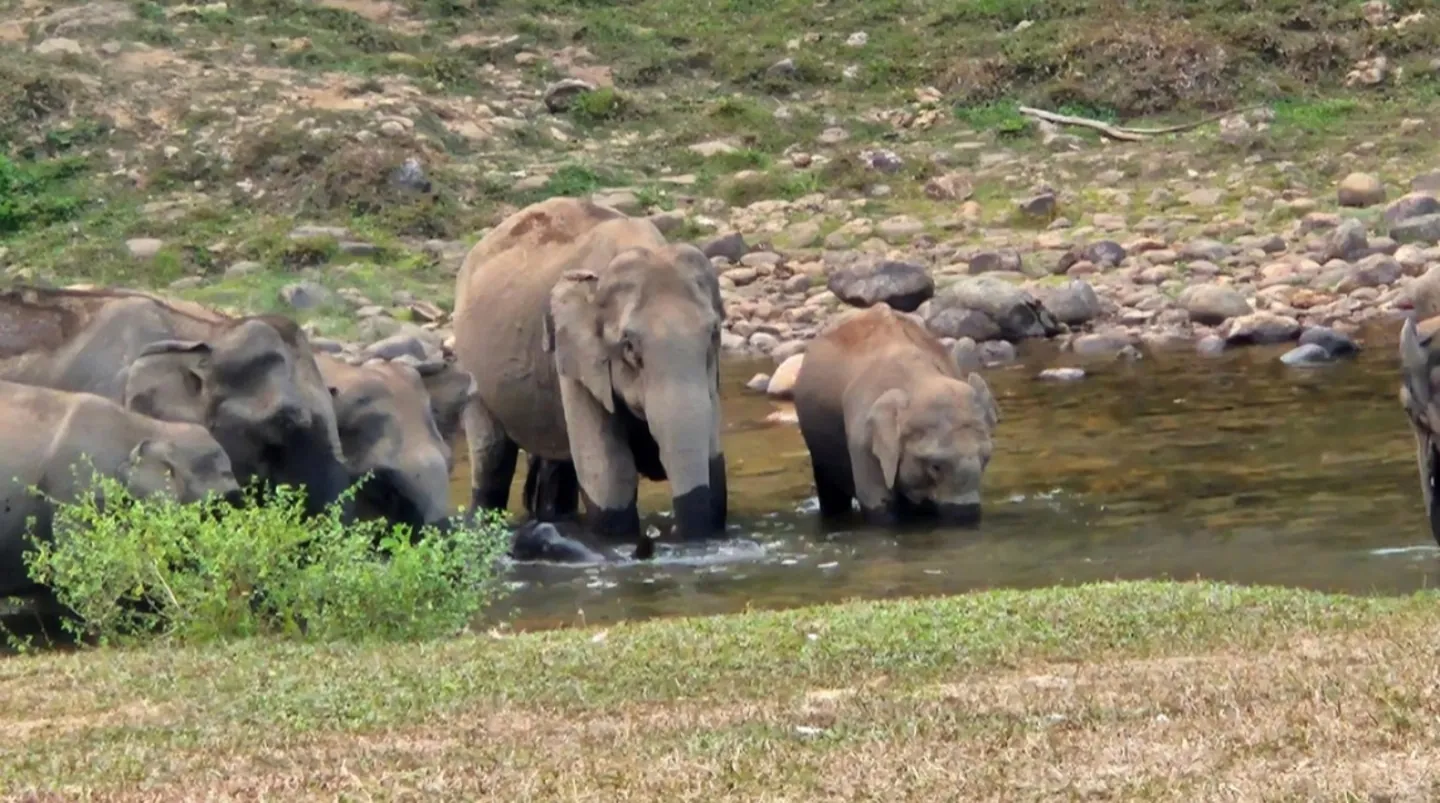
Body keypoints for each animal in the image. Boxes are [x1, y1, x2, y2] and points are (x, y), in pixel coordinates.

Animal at [452, 197, 728, 556]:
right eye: (629, 347)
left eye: (714, 333)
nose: (687, 541)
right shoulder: (575, 358)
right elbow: (610, 474)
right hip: (470, 368)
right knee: (492, 461)